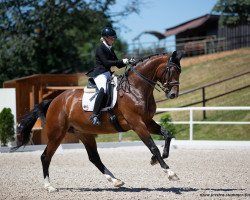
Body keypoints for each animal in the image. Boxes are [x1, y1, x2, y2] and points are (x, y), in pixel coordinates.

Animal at [11, 50, 183, 192]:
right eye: (171, 70)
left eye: (179, 71)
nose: (173, 94)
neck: (136, 89)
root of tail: (54, 100)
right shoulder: (137, 124)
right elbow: (152, 146)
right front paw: (170, 172)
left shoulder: (147, 122)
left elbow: (167, 134)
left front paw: (156, 159)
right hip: (57, 134)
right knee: (45, 156)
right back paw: (49, 186)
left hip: (84, 133)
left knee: (94, 158)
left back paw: (115, 180)